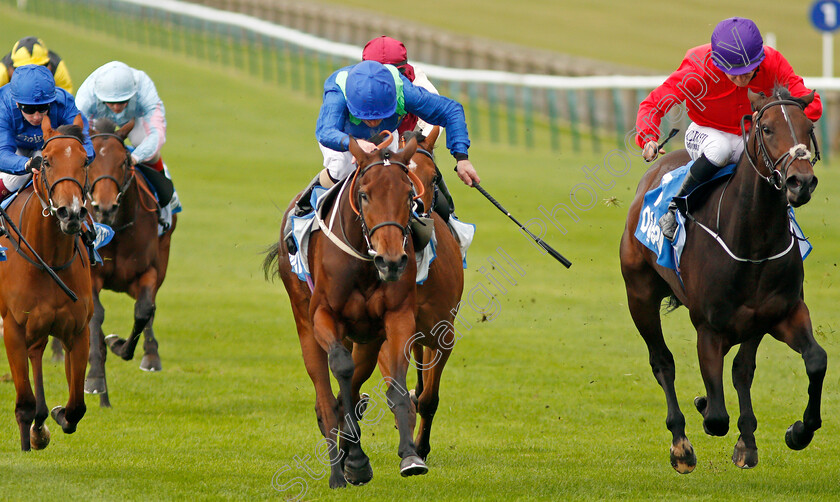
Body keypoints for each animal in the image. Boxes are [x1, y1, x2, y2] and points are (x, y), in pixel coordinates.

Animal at [0, 114, 92, 452]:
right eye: (47, 161)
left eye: (84, 161)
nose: (71, 213)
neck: (48, 259)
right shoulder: (13, 328)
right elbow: (25, 401)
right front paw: (29, 440)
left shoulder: (77, 331)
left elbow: (77, 406)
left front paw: (55, 416)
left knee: (37, 353)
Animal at [83, 118, 176, 408]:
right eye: (89, 162)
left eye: (124, 161)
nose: (104, 208)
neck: (117, 231)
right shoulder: (91, 275)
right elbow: (96, 317)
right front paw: (95, 378)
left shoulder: (148, 271)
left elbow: (144, 310)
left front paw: (120, 345)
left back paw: (151, 356)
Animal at [266, 135, 462, 488]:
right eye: (364, 194)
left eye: (432, 179)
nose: (392, 259)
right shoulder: (325, 316)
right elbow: (342, 374)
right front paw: (354, 461)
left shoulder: (416, 326)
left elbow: (410, 392)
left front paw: (412, 455)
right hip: (307, 324)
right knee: (326, 394)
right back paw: (339, 465)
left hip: (368, 339)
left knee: (356, 388)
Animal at [620, 87, 824, 474]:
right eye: (767, 128)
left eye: (809, 128)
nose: (801, 182)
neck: (753, 242)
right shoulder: (709, 329)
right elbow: (715, 416)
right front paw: (703, 407)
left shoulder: (782, 313)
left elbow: (814, 361)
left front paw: (797, 431)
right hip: (639, 295)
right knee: (662, 362)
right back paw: (681, 445)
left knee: (742, 369)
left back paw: (745, 440)